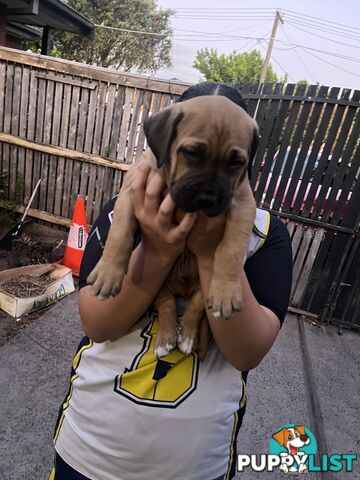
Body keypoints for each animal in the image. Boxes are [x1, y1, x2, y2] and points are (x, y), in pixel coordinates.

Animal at [87, 95, 258, 358]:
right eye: (191, 153)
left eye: (236, 163)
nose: (208, 198)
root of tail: (183, 289)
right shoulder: (129, 193)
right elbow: (119, 233)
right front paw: (108, 273)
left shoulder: (244, 204)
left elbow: (231, 250)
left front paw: (227, 291)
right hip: (159, 285)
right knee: (166, 306)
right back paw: (166, 339)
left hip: (201, 289)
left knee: (196, 307)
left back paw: (186, 336)